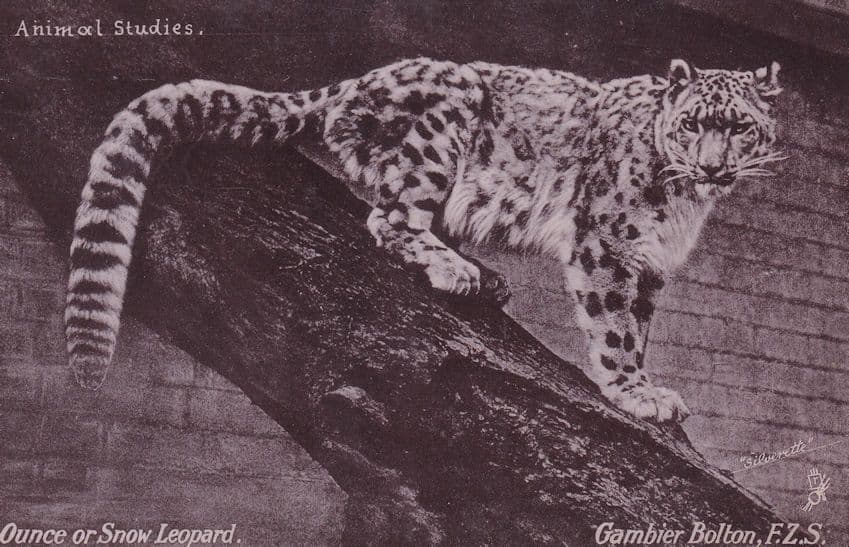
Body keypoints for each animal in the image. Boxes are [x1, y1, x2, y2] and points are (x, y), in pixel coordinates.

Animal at [65, 57, 784, 422]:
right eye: (692, 123)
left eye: (738, 127)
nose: (713, 165)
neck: (687, 203)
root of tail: (354, 80)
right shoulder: (606, 242)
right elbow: (614, 327)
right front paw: (636, 391)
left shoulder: (651, 262)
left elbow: (639, 322)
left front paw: (646, 382)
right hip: (439, 134)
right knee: (390, 217)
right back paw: (457, 270)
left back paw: (482, 275)